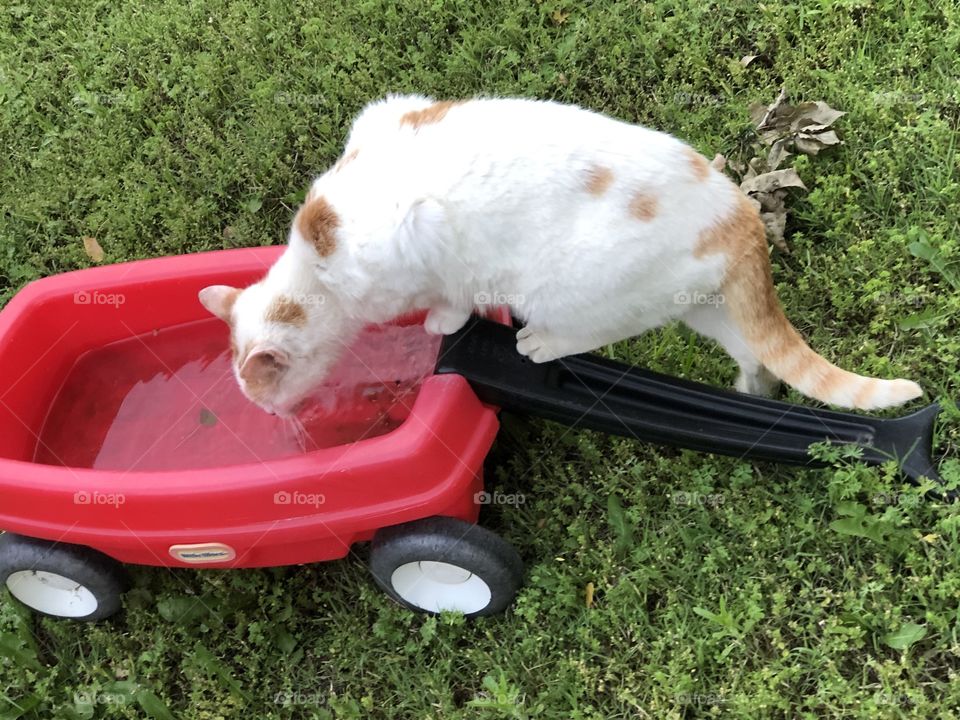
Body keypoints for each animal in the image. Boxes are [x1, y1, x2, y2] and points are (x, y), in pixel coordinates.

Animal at [197, 93, 924, 416]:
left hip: (570, 288)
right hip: (705, 304)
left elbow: (452, 298)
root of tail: (739, 211)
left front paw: (439, 322)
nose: (275, 419)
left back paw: (539, 343)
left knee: (598, 329)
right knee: (757, 354)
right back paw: (752, 392)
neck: (316, 261)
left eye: (266, 393)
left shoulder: (423, 242)